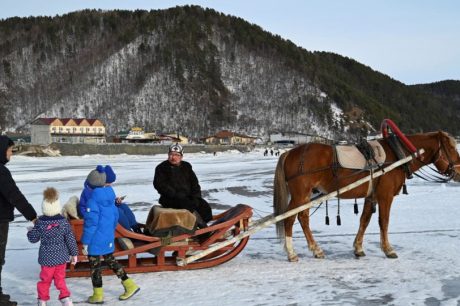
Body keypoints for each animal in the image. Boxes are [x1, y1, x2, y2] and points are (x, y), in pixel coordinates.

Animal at [274, 130, 460, 262]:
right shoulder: (385, 196)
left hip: (305, 196)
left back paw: (316, 249)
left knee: (303, 218)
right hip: (300, 195)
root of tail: (289, 153)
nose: (458, 172)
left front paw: (358, 248)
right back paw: (291, 253)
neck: (398, 154)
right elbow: (384, 221)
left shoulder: (372, 196)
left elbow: (364, 220)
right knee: (289, 219)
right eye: (451, 148)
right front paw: (388, 249)